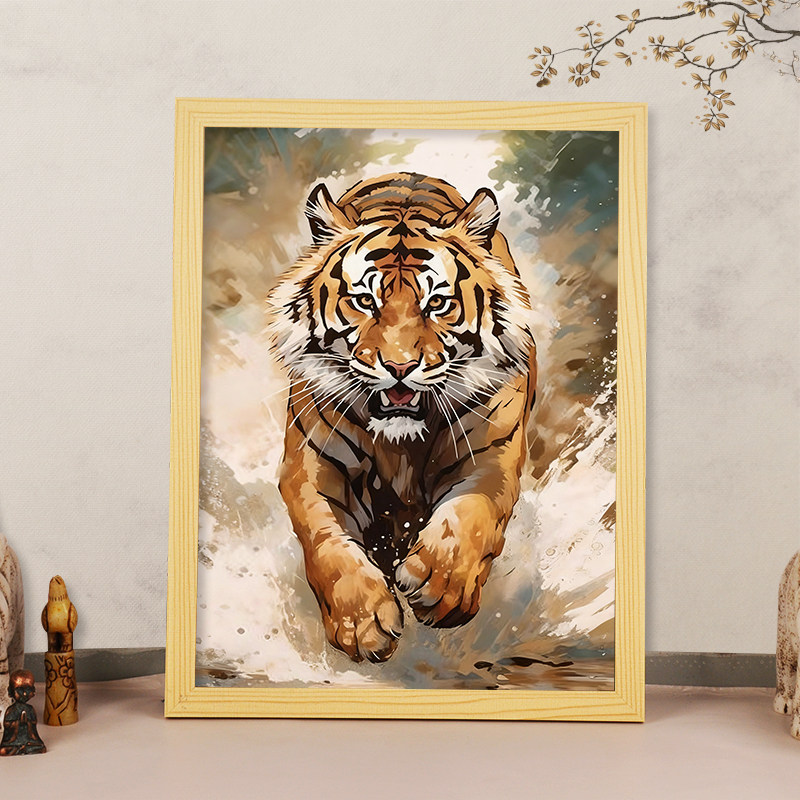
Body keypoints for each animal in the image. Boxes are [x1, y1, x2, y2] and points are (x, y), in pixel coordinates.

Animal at [267, 172, 537, 664]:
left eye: (437, 304)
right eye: (364, 301)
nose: (398, 366)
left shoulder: (492, 456)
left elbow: (469, 517)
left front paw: (439, 586)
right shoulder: (313, 465)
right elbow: (327, 543)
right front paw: (362, 624)